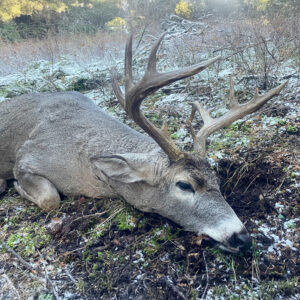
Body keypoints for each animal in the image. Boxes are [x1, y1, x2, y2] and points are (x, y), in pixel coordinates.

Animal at [0, 33, 288, 253]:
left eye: (216, 179)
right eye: (184, 184)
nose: (242, 238)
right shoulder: (27, 158)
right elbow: (51, 199)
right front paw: (16, 187)